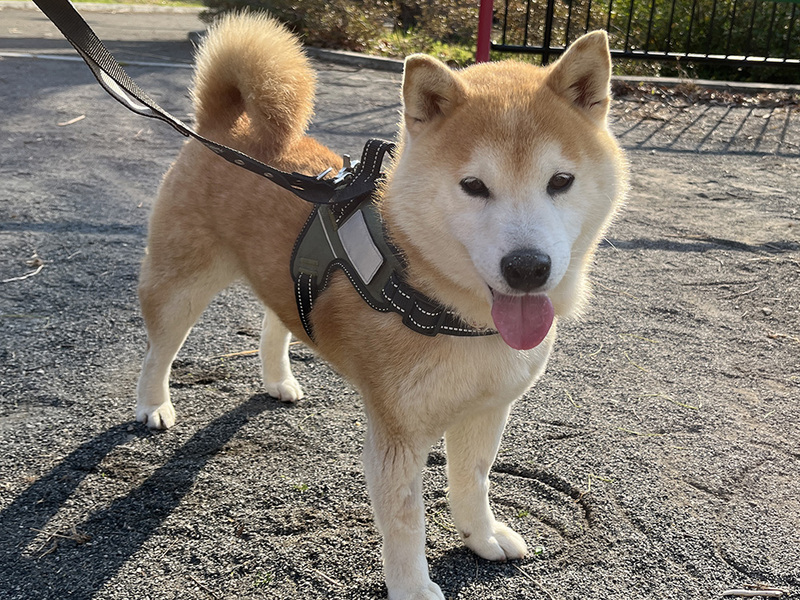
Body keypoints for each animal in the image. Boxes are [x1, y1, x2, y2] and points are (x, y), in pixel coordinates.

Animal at [135, 13, 626, 599]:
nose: (527, 267)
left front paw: (481, 536)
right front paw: (413, 587)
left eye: (561, 181)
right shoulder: (398, 435)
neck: (450, 311)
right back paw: (152, 406)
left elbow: (473, 480)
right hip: (180, 287)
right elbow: (405, 520)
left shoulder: (487, 408)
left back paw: (278, 380)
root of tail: (221, 125)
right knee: (158, 350)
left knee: (276, 321)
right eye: (473, 185)